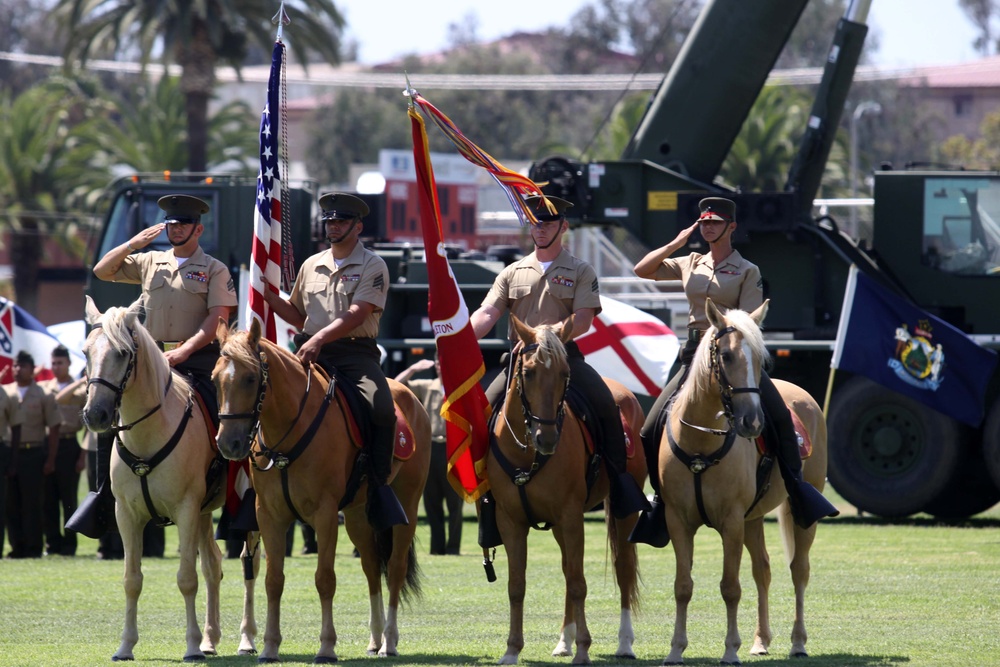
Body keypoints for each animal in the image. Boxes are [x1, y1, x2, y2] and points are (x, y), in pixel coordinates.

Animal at [81, 298, 258, 664]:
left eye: (122, 353)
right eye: (85, 351)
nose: (95, 414)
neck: (149, 433)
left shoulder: (186, 510)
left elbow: (186, 578)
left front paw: (190, 647)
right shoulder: (127, 515)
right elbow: (132, 579)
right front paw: (125, 646)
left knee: (250, 564)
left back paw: (246, 639)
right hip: (205, 513)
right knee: (213, 566)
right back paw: (210, 639)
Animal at [213, 320, 432, 664]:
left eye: (250, 378)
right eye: (215, 380)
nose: (228, 443)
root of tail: (410, 395)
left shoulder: (325, 515)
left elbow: (325, 579)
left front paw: (327, 646)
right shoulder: (269, 514)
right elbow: (273, 580)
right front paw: (269, 646)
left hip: (407, 506)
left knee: (395, 568)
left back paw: (389, 641)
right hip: (357, 516)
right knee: (372, 567)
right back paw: (375, 638)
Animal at [486, 316, 644, 664]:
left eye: (564, 374)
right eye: (528, 372)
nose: (547, 438)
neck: (527, 454)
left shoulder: (572, 517)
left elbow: (577, 582)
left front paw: (584, 648)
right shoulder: (510, 521)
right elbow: (517, 585)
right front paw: (512, 649)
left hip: (622, 510)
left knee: (622, 568)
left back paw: (624, 642)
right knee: (567, 567)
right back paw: (564, 640)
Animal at [656, 300, 828, 664]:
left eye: (760, 360)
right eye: (726, 355)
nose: (752, 421)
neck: (701, 444)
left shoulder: (731, 521)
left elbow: (730, 587)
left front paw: (730, 649)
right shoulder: (678, 520)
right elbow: (683, 586)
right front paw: (676, 648)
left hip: (800, 512)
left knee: (799, 569)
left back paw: (798, 642)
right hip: (754, 518)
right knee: (763, 569)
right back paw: (761, 640)